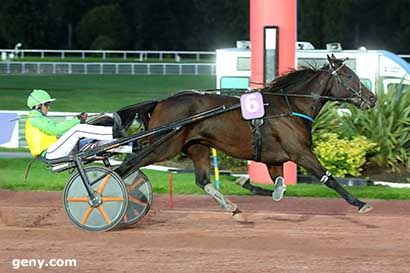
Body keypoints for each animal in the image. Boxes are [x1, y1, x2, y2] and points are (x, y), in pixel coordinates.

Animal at [110, 53, 376, 219]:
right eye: (350, 77)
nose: (372, 98)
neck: (290, 106)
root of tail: (160, 102)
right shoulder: (300, 153)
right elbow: (328, 179)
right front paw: (361, 204)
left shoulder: (274, 160)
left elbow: (279, 191)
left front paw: (244, 182)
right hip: (163, 146)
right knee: (127, 165)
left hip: (197, 147)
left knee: (203, 181)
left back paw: (232, 208)